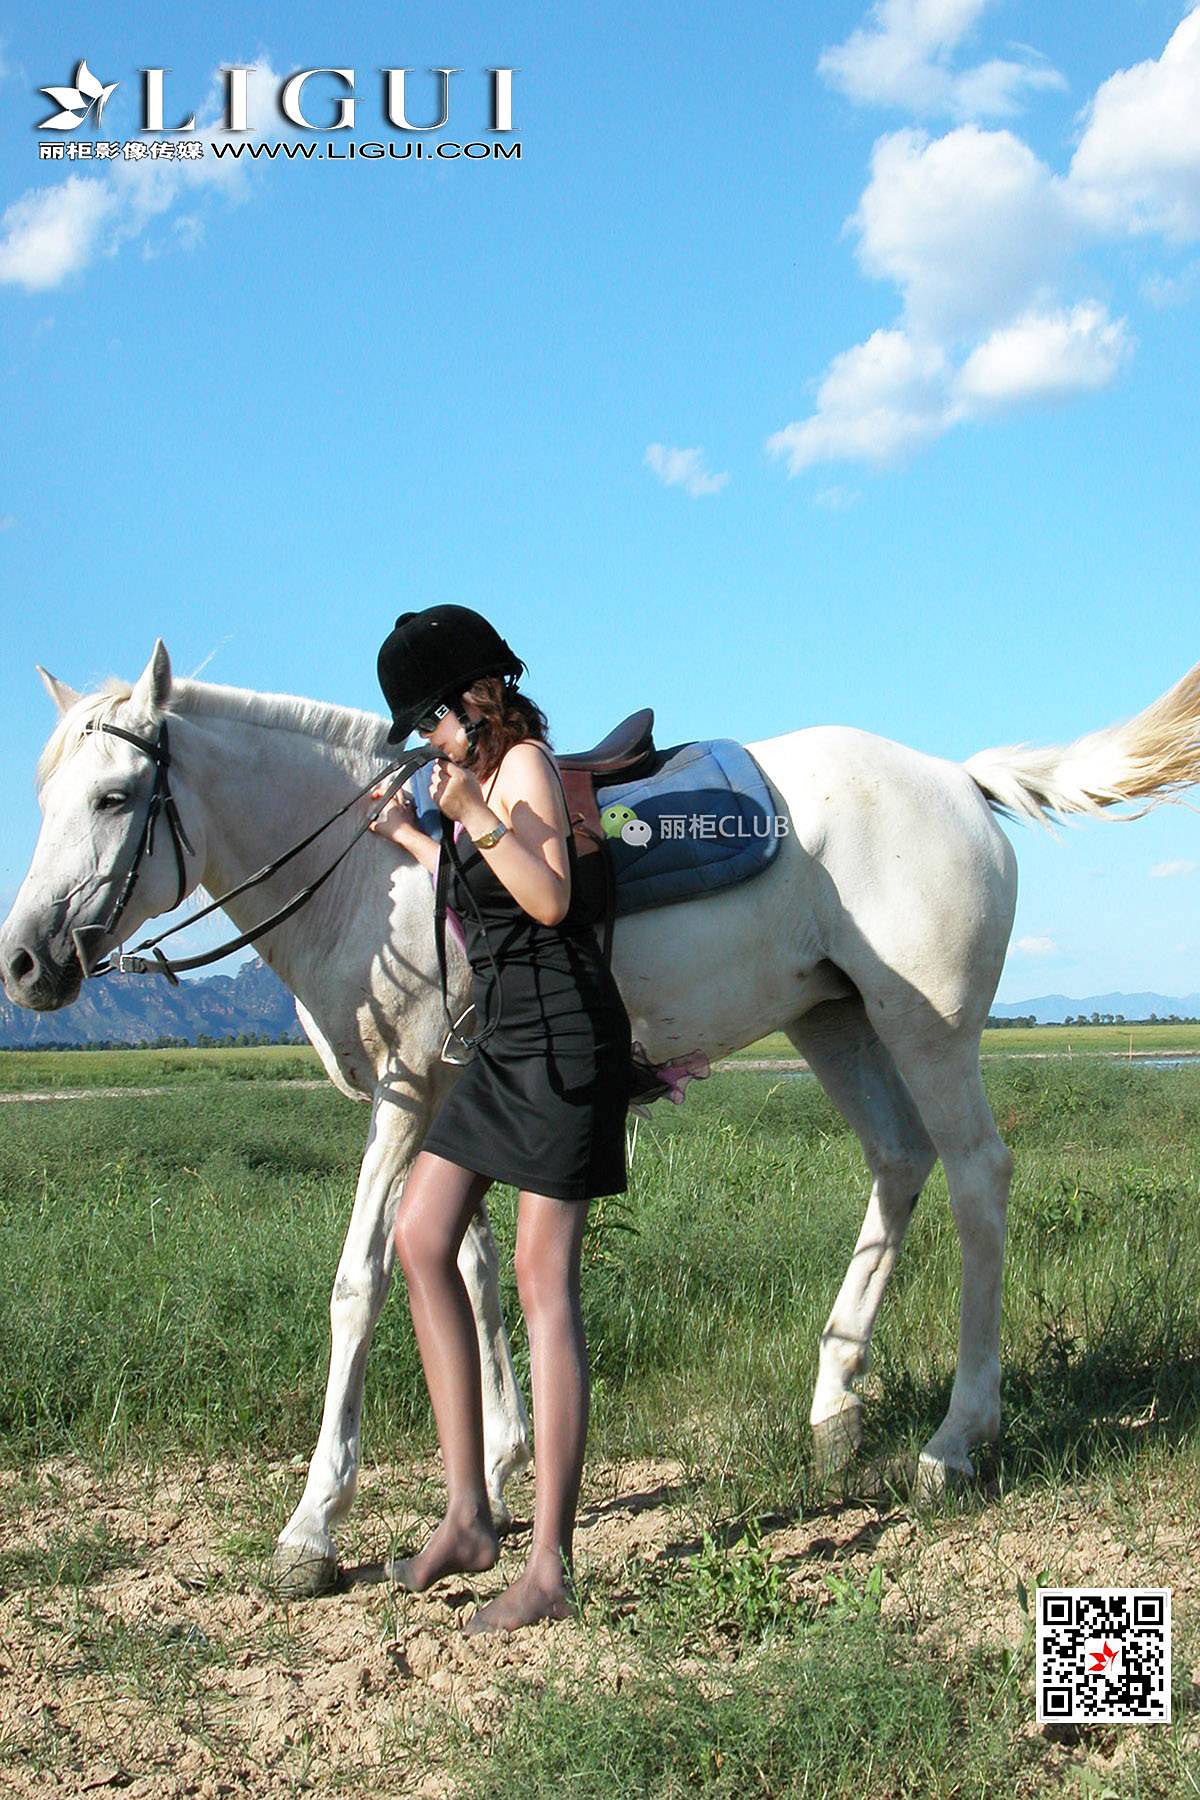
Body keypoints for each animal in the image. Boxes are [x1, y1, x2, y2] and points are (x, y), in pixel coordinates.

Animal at [3, 641, 1198, 1596]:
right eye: (46, 795)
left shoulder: (403, 1099)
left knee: (978, 1179)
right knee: (898, 1164)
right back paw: (835, 1408)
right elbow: (472, 1272)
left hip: (931, 1029)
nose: (25, 964)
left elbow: (360, 1284)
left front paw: (313, 1526)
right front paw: (494, 1469)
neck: (371, 877)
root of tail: (954, 777)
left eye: (116, 798)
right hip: (835, 1021)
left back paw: (956, 1440)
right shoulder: (454, 1097)